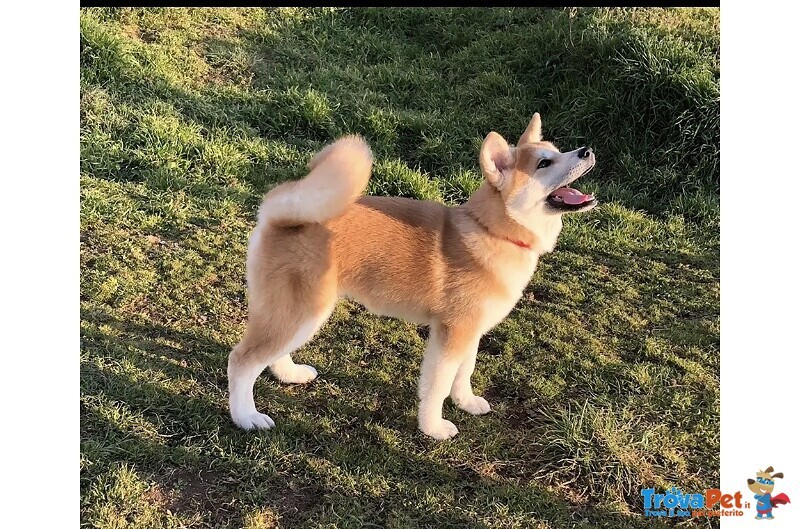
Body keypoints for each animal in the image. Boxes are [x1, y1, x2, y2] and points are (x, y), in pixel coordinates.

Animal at [228, 113, 596, 440]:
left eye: (557, 150)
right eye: (544, 163)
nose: (587, 151)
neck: (492, 231)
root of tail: (280, 217)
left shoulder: (471, 332)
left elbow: (464, 374)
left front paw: (466, 402)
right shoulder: (451, 335)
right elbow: (438, 385)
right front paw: (433, 428)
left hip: (298, 315)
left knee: (270, 354)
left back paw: (290, 374)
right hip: (302, 312)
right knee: (242, 361)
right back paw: (246, 417)